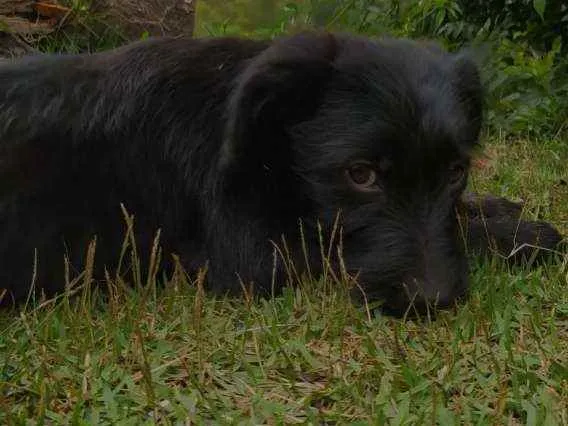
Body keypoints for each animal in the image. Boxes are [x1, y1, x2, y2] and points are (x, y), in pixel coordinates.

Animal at [0, 32, 564, 312]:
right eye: (360, 174)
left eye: (455, 172)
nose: (434, 300)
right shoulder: (250, 260)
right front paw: (521, 235)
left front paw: (499, 210)